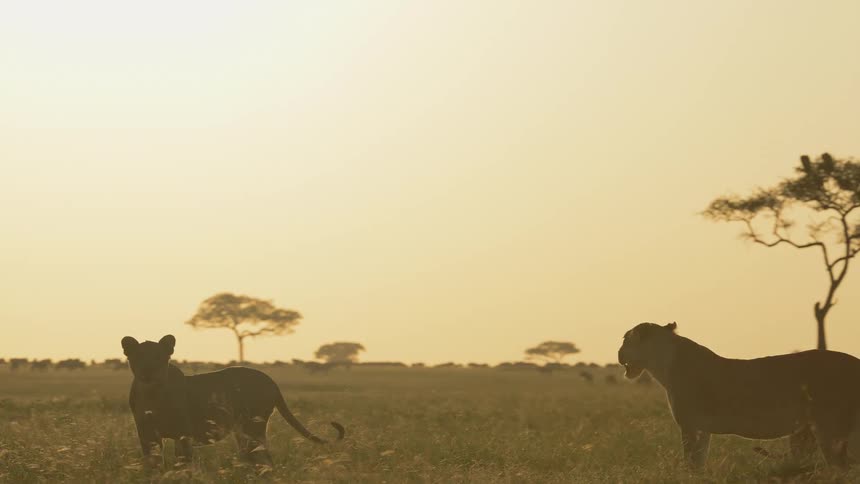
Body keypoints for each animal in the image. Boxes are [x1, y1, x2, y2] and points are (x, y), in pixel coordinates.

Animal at [121, 335, 345, 468]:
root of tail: (270, 380)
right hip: (243, 430)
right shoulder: (147, 433)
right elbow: (153, 463)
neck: (153, 393)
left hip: (253, 426)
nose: (148, 371)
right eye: (139, 357)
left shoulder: (183, 433)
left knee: (263, 458)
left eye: (159, 358)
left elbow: (184, 463)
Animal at [618, 322, 860, 468]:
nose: (618, 354)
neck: (662, 365)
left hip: (830, 428)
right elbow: (700, 462)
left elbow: (691, 463)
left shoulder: (689, 425)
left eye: (626, 340)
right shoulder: (703, 428)